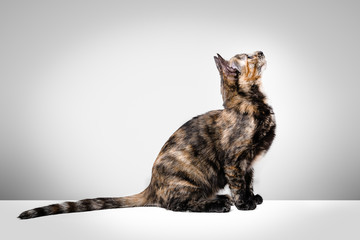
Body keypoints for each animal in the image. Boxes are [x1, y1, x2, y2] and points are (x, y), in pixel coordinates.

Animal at [18, 51, 276, 219]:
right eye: (249, 57)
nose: (261, 51)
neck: (254, 103)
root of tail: (151, 186)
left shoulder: (248, 164)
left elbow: (248, 183)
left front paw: (253, 198)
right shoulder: (235, 161)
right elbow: (238, 185)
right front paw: (244, 205)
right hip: (189, 183)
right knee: (177, 204)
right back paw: (219, 204)